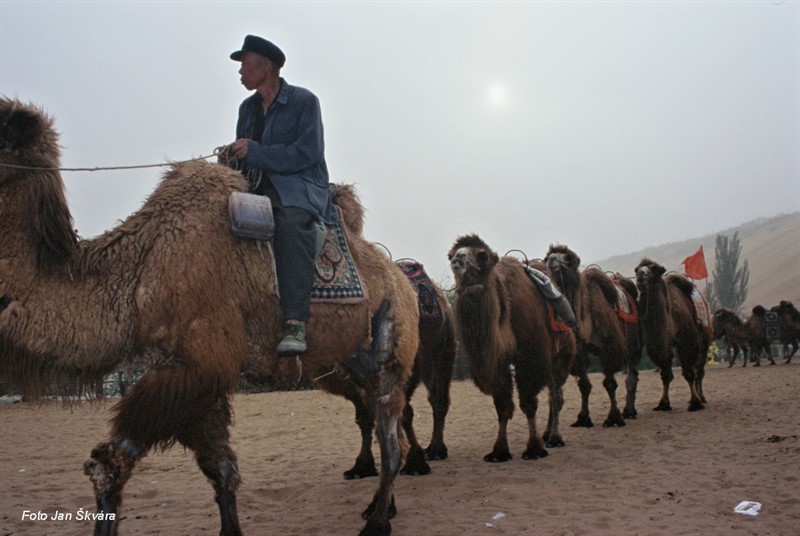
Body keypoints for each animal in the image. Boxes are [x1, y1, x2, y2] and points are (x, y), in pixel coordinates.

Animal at [0, 97, 422, 536]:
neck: (144, 265)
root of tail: (400, 278)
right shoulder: (192, 371)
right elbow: (219, 468)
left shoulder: (198, 360)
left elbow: (108, 465)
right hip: (351, 359)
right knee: (379, 422)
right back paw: (379, 507)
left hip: (390, 348)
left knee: (391, 435)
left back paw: (377, 521)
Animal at [450, 233, 576, 460]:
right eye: (451, 254)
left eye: (482, 255)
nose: (458, 258)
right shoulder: (498, 363)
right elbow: (502, 406)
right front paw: (499, 451)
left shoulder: (530, 359)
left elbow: (528, 403)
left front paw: (534, 448)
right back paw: (547, 434)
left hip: (561, 355)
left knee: (556, 396)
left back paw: (554, 438)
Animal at [540, 244, 640, 428]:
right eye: (547, 256)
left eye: (568, 258)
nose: (551, 260)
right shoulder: (580, 351)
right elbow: (584, 385)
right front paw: (583, 418)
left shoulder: (609, 347)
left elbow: (610, 383)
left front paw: (613, 418)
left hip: (633, 342)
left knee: (631, 374)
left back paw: (629, 411)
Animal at [636, 258, 716, 410]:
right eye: (636, 269)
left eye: (654, 268)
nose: (640, 275)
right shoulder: (662, 345)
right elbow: (666, 375)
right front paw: (663, 403)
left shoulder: (687, 342)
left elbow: (689, 373)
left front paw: (695, 403)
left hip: (704, 340)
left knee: (699, 370)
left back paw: (702, 397)